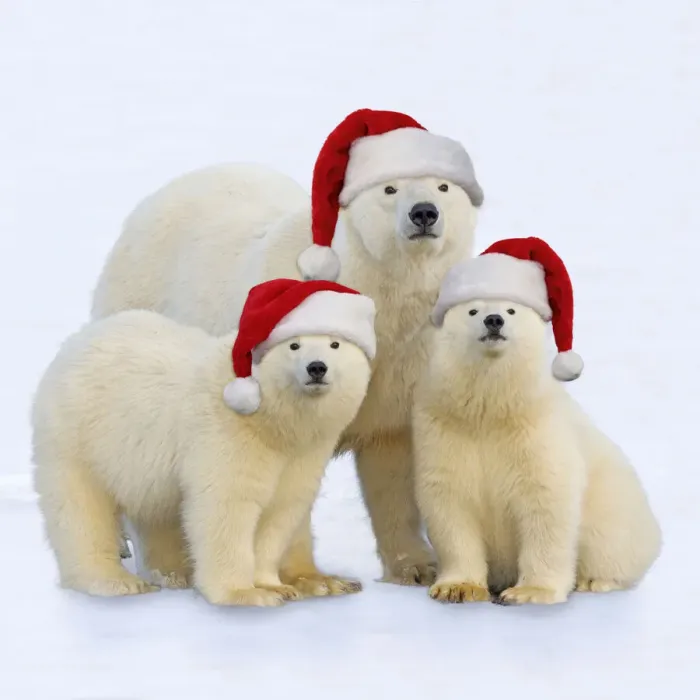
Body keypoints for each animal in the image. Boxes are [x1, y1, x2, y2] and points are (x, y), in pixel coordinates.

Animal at [32, 279, 376, 606]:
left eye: (334, 343)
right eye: (293, 345)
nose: (316, 367)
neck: (270, 419)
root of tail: (75, 342)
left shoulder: (303, 453)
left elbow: (281, 510)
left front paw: (276, 586)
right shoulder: (227, 434)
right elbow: (225, 506)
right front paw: (245, 593)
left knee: (156, 512)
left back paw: (173, 573)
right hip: (80, 436)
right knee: (80, 509)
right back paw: (114, 581)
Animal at [89, 109, 484, 588]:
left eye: (443, 186)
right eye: (389, 188)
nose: (424, 212)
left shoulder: (404, 365)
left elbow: (393, 464)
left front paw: (417, 568)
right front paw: (308, 578)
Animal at [412, 237, 662, 605]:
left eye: (511, 310)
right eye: (472, 311)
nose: (493, 320)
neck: (491, 410)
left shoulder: (537, 430)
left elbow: (546, 502)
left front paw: (528, 592)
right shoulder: (443, 427)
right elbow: (450, 502)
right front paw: (457, 587)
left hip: (617, 506)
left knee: (611, 544)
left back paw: (596, 580)